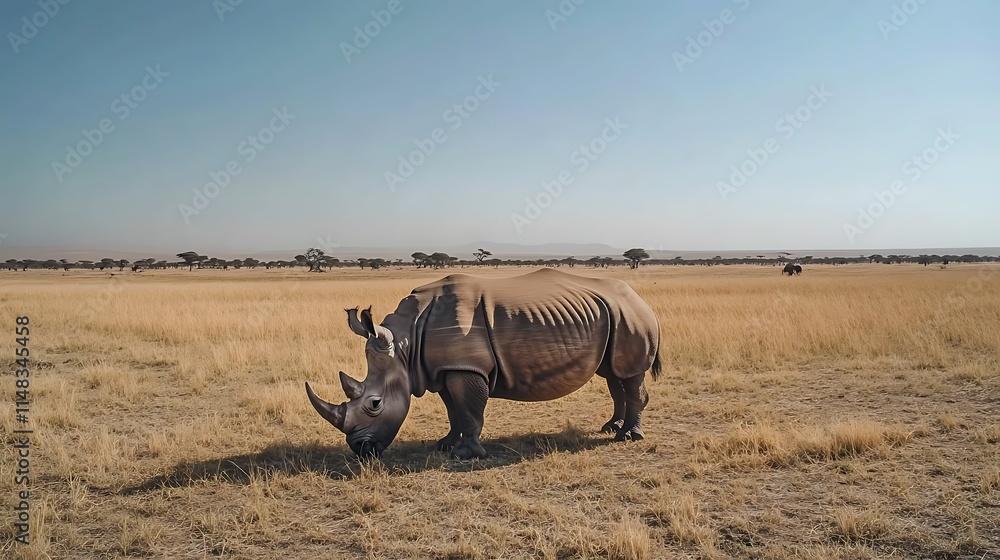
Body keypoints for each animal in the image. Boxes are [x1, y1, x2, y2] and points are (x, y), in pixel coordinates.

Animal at [305, 268, 662, 460]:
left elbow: (470, 410)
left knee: (629, 377)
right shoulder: (445, 367)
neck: (406, 344)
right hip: (615, 315)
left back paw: (627, 438)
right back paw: (611, 428)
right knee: (614, 375)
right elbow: (454, 410)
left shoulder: (466, 367)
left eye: (375, 404)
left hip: (629, 316)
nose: (361, 450)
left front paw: (466, 455)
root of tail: (638, 297)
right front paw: (445, 446)